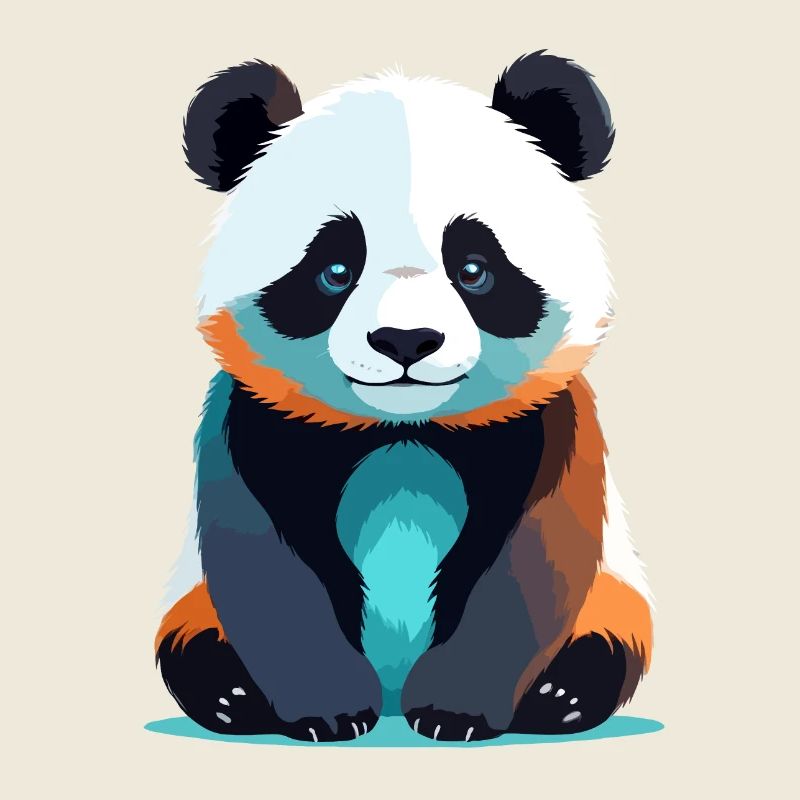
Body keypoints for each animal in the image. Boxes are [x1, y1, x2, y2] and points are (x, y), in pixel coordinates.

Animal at [155, 51, 653, 742]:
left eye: (473, 268)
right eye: (334, 270)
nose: (406, 341)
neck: (404, 430)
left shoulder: (549, 423)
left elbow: (526, 560)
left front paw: (454, 711)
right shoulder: (252, 421)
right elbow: (269, 565)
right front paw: (328, 712)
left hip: (614, 594)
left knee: (607, 639)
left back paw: (562, 695)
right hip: (191, 601)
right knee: (194, 640)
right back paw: (232, 694)